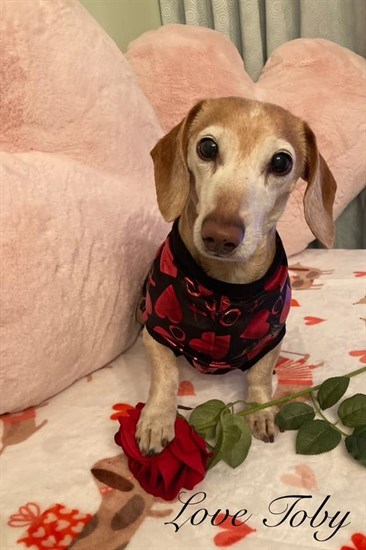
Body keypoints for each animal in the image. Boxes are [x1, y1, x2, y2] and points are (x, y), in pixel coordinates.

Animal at [136, 98, 336, 458]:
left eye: (282, 162)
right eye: (207, 147)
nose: (219, 236)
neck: (224, 286)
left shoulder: (271, 337)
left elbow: (260, 376)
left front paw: (261, 411)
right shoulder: (156, 331)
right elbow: (166, 375)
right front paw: (157, 419)